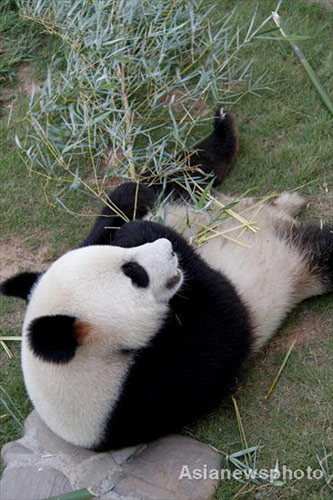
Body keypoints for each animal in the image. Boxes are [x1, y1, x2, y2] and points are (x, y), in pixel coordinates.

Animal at [1, 109, 330, 454]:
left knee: (182, 168)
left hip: (186, 188)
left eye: (122, 260)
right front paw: (151, 233)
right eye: (135, 274)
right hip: (301, 260)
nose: (168, 248)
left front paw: (133, 216)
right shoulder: (148, 400)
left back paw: (221, 129)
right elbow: (223, 324)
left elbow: (117, 208)